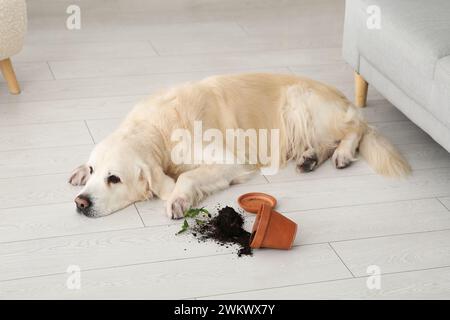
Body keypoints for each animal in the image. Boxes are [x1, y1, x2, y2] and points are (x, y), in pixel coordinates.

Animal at [68, 73, 410, 219]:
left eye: (114, 178)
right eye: (94, 170)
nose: (80, 203)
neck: (157, 129)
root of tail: (343, 99)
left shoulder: (230, 160)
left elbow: (186, 176)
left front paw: (177, 198)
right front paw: (78, 170)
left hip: (299, 103)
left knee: (357, 128)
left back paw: (343, 153)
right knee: (326, 141)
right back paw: (310, 158)